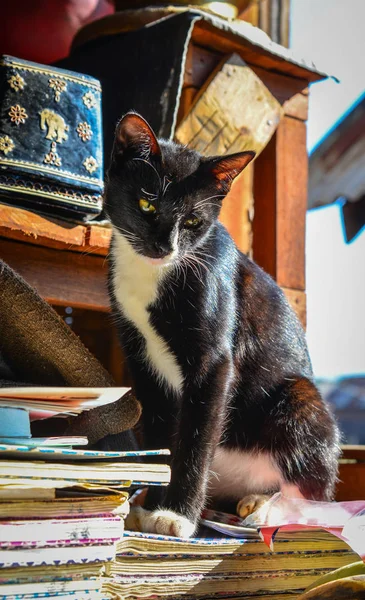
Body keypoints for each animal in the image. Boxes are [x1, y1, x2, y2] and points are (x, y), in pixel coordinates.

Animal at [104, 112, 338, 540]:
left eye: (193, 220)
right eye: (147, 203)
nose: (164, 247)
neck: (154, 275)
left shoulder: (214, 362)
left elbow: (195, 438)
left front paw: (177, 515)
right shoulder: (140, 358)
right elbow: (162, 437)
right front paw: (150, 505)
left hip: (301, 400)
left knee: (316, 497)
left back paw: (262, 509)